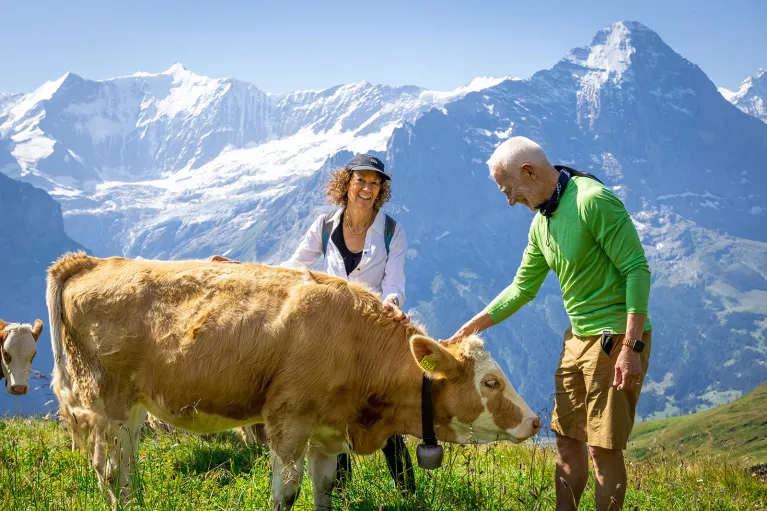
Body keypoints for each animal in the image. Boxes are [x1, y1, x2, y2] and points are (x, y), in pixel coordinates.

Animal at [47, 252, 540, 510]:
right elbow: (285, 493)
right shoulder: (289, 420)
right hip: (104, 401)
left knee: (125, 466)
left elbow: (324, 491)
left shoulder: (326, 432)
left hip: (128, 411)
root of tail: (88, 262)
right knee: (111, 470)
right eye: (491, 383)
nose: (536, 421)